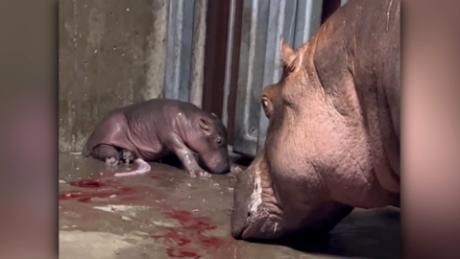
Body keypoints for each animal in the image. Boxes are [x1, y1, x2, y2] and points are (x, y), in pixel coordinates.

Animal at [82, 98, 230, 178]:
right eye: (219, 140)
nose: (226, 168)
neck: (190, 121)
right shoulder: (170, 135)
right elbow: (185, 152)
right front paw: (201, 173)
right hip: (113, 125)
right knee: (98, 148)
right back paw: (113, 158)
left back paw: (127, 155)